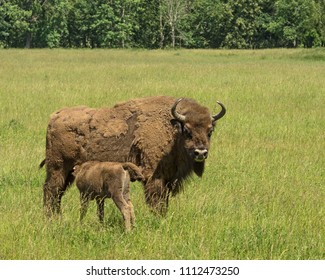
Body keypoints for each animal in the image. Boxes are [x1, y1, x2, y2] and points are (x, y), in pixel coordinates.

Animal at [40, 96, 225, 217]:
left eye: (210, 131)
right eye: (187, 130)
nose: (200, 152)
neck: (172, 129)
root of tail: (55, 116)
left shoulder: (168, 179)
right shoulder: (154, 177)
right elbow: (157, 201)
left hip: (70, 171)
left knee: (57, 193)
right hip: (58, 167)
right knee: (51, 190)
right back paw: (52, 217)